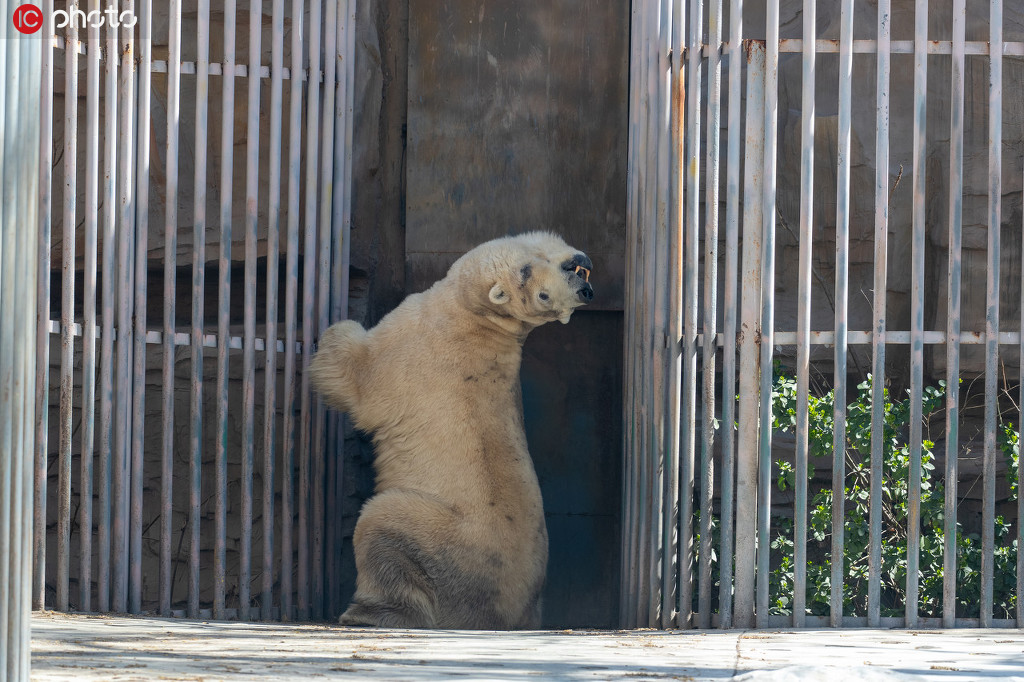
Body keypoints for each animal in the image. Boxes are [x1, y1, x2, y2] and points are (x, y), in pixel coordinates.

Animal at [309, 232, 593, 626]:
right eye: (543, 296)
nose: (582, 286)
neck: (474, 314)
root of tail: (505, 617)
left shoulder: (414, 343)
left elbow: (356, 373)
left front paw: (328, 333)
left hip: (444, 543)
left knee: (383, 524)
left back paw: (367, 611)